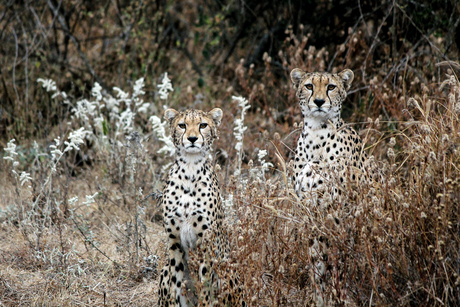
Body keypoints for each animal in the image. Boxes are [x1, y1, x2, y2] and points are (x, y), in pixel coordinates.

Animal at [156, 107, 239, 306]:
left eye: (203, 125)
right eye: (182, 125)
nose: (192, 138)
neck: (190, 168)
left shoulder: (206, 242)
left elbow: (205, 285)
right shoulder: (174, 242)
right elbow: (176, 283)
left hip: (227, 269)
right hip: (164, 269)